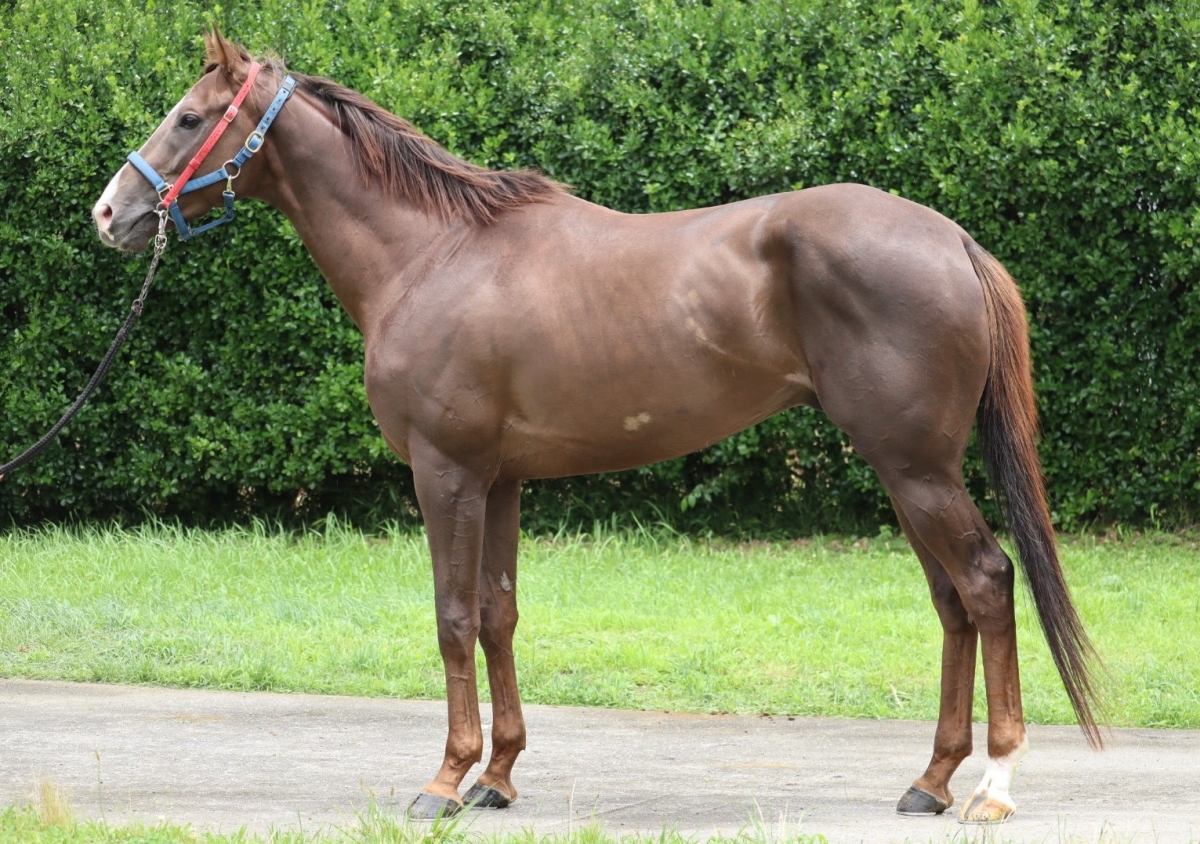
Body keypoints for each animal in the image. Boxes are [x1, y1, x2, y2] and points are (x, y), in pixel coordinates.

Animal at [91, 30, 1100, 825]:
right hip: (904, 469)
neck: (432, 253)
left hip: (915, 467)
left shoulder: (445, 474)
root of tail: (951, 239)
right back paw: (930, 780)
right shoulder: (498, 480)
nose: (111, 213)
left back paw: (992, 787)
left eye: (189, 118)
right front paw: (497, 776)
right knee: (952, 602)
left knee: (985, 581)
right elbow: (497, 615)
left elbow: (452, 618)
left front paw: (444, 781)